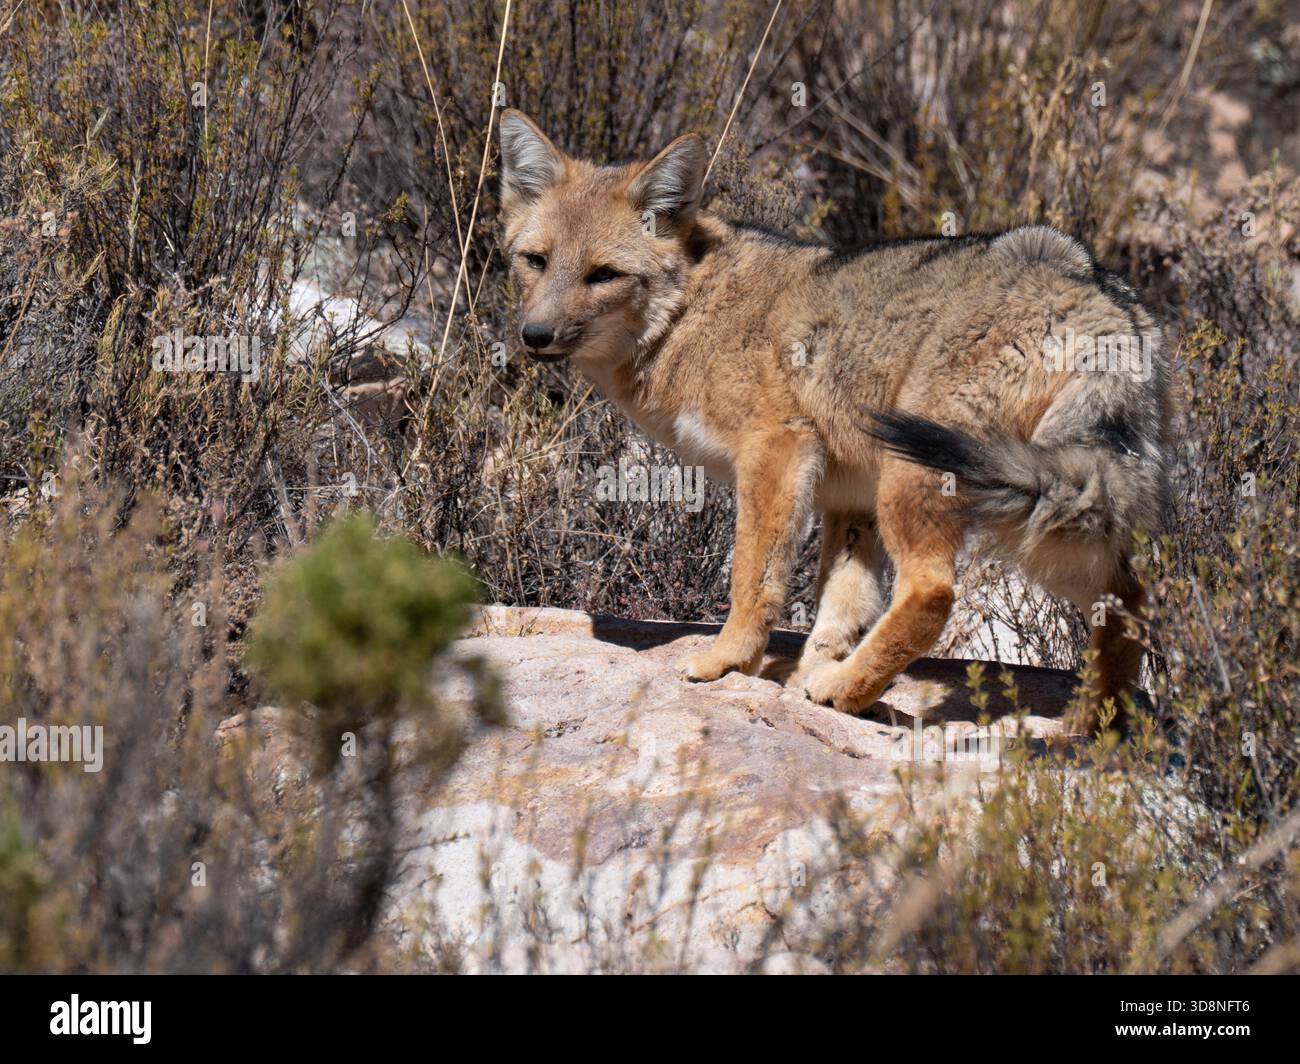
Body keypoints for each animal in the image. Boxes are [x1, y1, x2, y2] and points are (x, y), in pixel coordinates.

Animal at [496, 109, 1171, 735]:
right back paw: (1092, 727)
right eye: (535, 261)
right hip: (1053, 518)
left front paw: (728, 662)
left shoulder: (775, 450)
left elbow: (754, 577)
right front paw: (805, 676)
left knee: (933, 592)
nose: (535, 336)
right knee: (1130, 601)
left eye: (602, 275)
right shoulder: (849, 498)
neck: (690, 310)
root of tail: (1104, 301)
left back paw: (847, 692)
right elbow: (840, 607)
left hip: (928, 477)